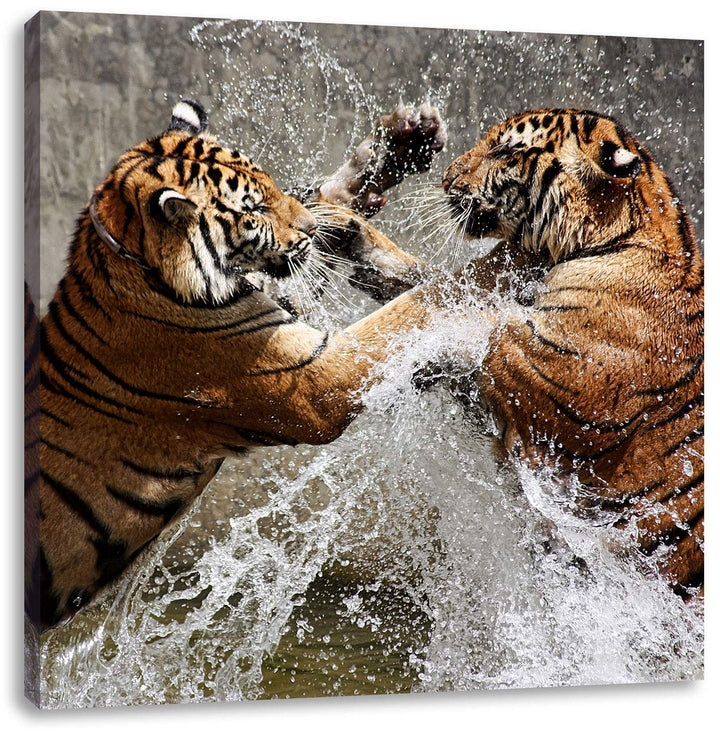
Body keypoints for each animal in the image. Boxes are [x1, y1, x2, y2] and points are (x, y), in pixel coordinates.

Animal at [24, 98, 452, 631]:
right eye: (254, 209)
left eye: (271, 186)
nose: (311, 229)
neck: (144, 269)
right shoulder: (311, 380)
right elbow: (404, 313)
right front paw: (485, 281)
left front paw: (400, 144)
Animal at [339, 108, 704, 600]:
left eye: (506, 150)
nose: (446, 179)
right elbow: (438, 285)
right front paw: (347, 232)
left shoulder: (558, 382)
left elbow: (471, 324)